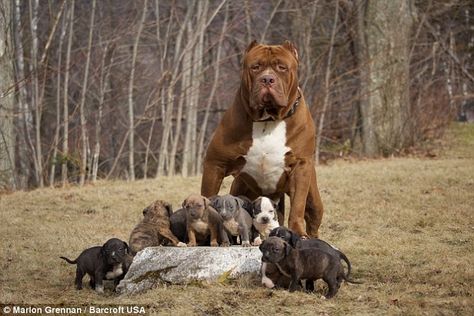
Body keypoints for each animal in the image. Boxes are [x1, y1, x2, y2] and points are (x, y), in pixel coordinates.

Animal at [200, 40, 326, 237]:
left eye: (282, 67)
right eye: (255, 67)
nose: (267, 79)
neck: (268, 119)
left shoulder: (300, 167)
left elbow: (297, 207)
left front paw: (298, 232)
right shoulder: (215, 164)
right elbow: (207, 195)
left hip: (313, 199)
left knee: (312, 216)